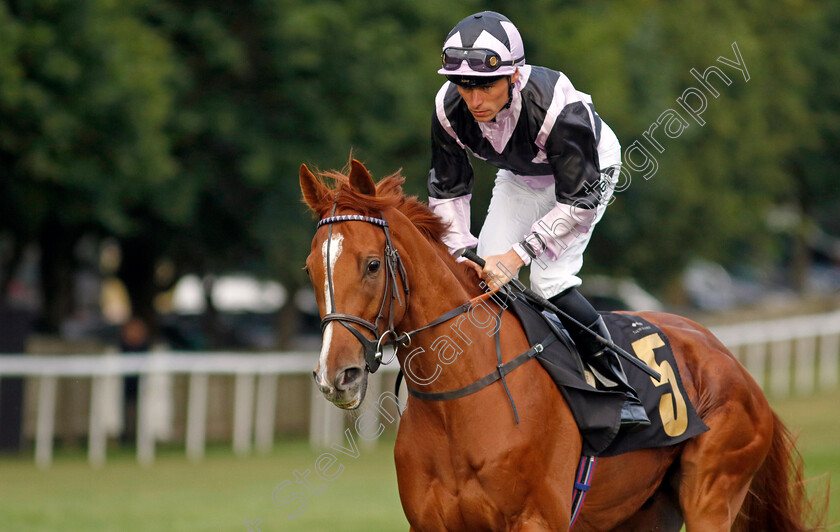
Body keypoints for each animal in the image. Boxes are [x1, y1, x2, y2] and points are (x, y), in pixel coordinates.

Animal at [298, 160, 824, 528]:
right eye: (309, 269)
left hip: (712, 495)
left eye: (371, 264)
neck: (460, 402)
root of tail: (735, 366)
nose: (336, 375)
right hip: (643, 512)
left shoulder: (536, 520)